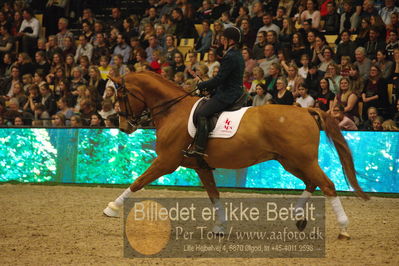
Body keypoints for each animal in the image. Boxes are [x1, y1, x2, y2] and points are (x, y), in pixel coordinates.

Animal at [103, 70, 368, 239]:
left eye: (121, 95)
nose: (124, 127)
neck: (173, 110)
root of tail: (306, 111)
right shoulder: (201, 166)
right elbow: (214, 195)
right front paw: (220, 226)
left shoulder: (167, 161)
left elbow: (138, 182)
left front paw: (111, 208)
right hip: (290, 161)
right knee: (312, 183)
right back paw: (299, 216)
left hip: (302, 160)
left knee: (328, 185)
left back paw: (343, 228)